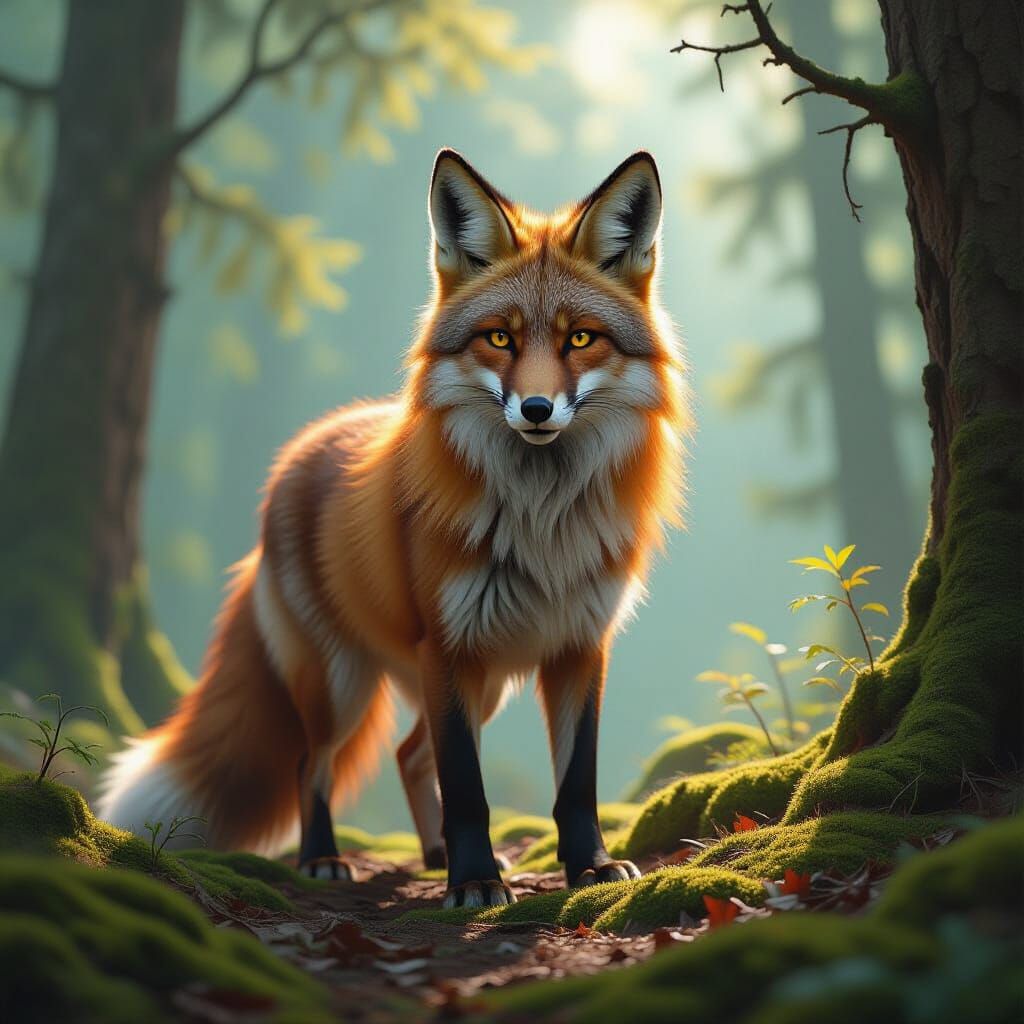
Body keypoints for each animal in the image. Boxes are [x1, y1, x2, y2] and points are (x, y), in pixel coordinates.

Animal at [99, 149, 688, 908]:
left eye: (580, 339)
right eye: (500, 338)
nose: (535, 409)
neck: (542, 522)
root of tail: (302, 448)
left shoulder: (580, 646)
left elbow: (575, 783)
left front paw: (588, 867)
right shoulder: (448, 646)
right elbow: (467, 785)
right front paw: (476, 881)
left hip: (483, 684)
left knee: (410, 755)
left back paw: (433, 853)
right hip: (343, 683)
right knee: (310, 763)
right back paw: (325, 858)